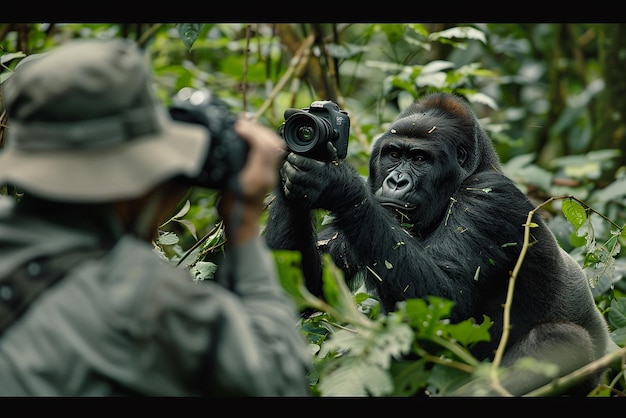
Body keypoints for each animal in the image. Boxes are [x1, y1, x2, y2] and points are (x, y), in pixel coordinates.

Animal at [262, 92, 608, 396]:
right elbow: (302, 289)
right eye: (393, 155)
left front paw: (339, 184)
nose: (396, 182)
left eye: (419, 158)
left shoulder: (490, 195)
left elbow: (445, 302)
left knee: (559, 338)